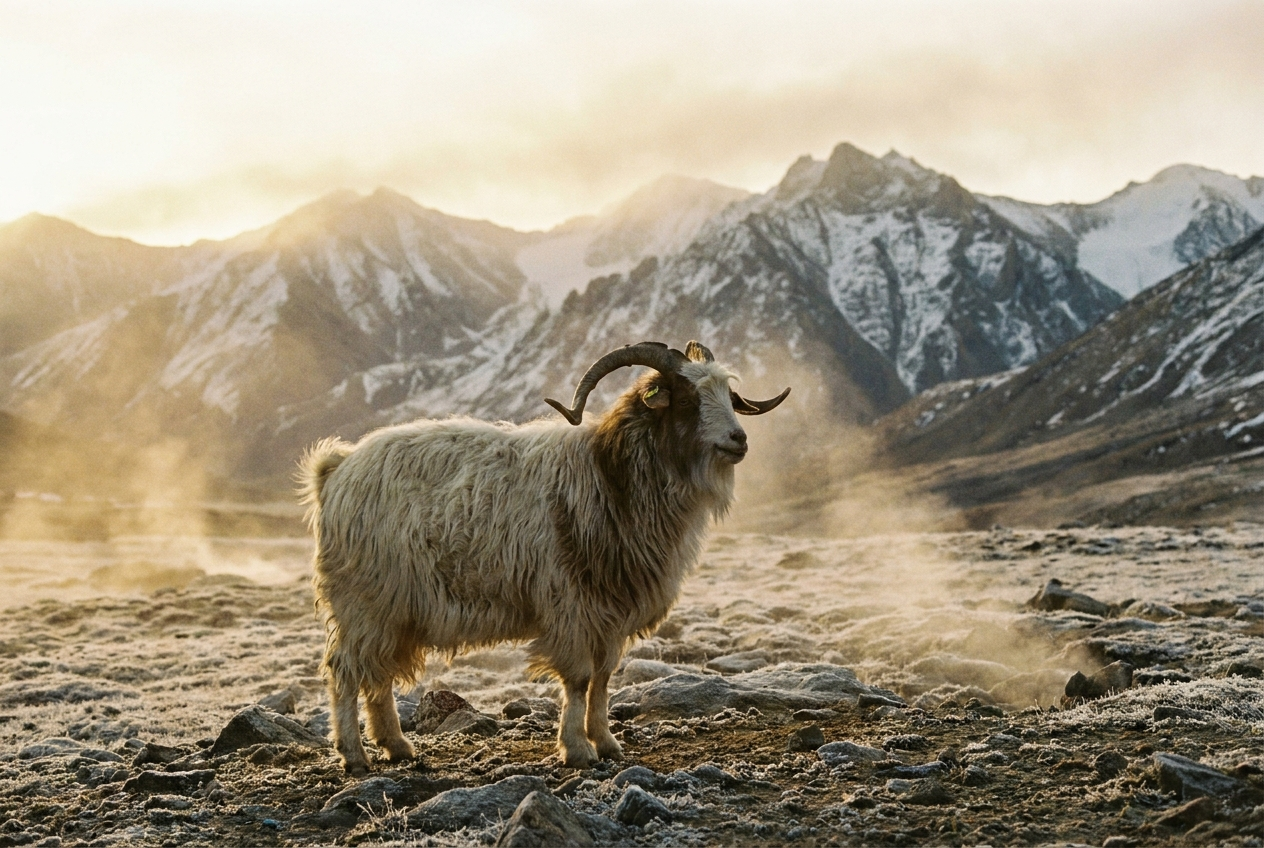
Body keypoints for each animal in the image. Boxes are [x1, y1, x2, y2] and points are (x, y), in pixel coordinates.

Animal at [299, 340, 789, 774]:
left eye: (728, 395)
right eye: (686, 400)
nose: (739, 439)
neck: (610, 475)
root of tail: (336, 469)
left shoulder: (609, 611)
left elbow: (603, 678)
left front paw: (606, 743)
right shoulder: (570, 605)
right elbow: (578, 679)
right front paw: (576, 750)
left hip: (392, 610)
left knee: (376, 676)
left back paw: (397, 746)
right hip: (365, 602)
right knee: (345, 673)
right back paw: (353, 755)